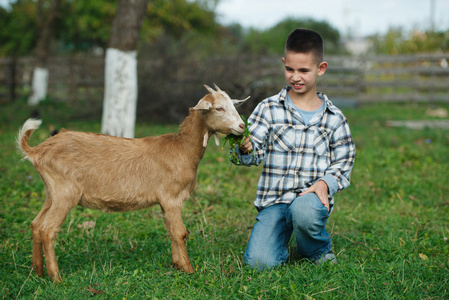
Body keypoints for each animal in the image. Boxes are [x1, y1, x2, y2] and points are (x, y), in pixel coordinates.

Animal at [16, 84, 248, 282]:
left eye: (233, 105)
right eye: (218, 108)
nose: (241, 126)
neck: (182, 149)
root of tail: (37, 151)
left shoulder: (165, 203)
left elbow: (171, 231)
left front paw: (177, 266)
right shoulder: (171, 197)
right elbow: (181, 233)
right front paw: (190, 270)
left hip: (52, 192)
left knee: (36, 224)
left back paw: (38, 273)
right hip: (65, 193)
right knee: (48, 229)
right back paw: (57, 278)